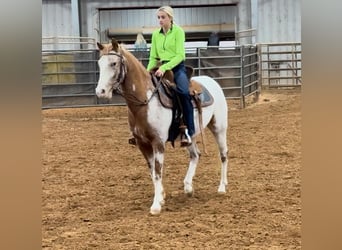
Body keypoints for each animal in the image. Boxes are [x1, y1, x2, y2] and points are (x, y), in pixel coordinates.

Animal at [95, 39, 228, 215]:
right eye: (99, 63)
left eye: (114, 63)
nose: (100, 91)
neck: (145, 101)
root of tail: (212, 81)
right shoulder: (142, 144)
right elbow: (152, 172)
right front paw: (161, 197)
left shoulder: (157, 142)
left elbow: (158, 171)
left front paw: (156, 205)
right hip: (190, 135)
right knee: (195, 155)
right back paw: (188, 187)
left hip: (219, 127)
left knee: (223, 154)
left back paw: (222, 187)